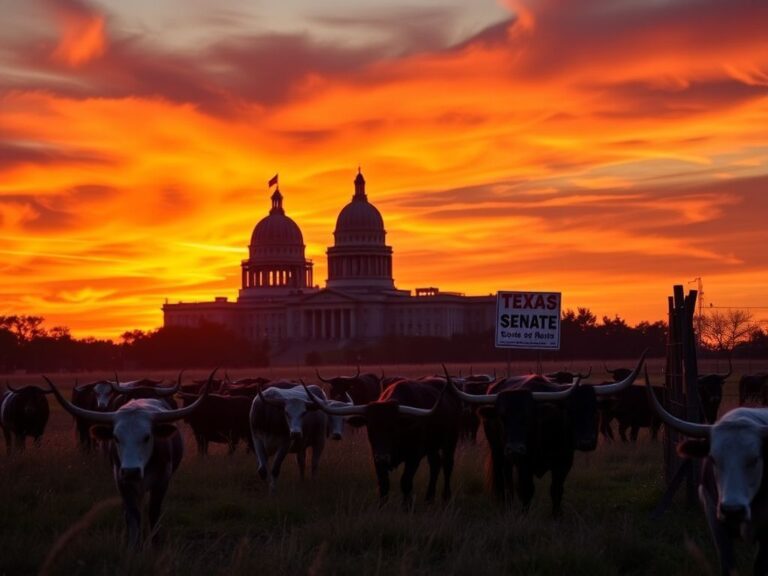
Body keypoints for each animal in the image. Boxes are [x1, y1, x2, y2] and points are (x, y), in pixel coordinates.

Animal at [44, 371, 213, 548]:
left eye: (147, 437)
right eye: (116, 438)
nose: (131, 471)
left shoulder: (162, 482)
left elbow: (153, 512)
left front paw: (155, 544)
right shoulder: (122, 482)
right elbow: (132, 515)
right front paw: (133, 545)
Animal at [305, 377, 460, 507]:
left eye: (393, 427)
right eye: (370, 428)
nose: (383, 457)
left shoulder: (414, 456)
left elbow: (406, 481)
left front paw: (406, 506)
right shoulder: (376, 457)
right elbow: (384, 484)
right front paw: (382, 507)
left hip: (450, 441)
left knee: (447, 465)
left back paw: (446, 497)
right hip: (432, 447)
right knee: (435, 465)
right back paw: (429, 499)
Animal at [452, 351, 647, 516]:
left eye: (595, 411)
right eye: (569, 410)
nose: (586, 442)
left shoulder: (564, 461)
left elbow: (556, 489)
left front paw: (556, 515)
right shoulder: (523, 461)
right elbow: (525, 489)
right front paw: (524, 515)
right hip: (499, 452)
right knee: (504, 480)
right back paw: (506, 504)